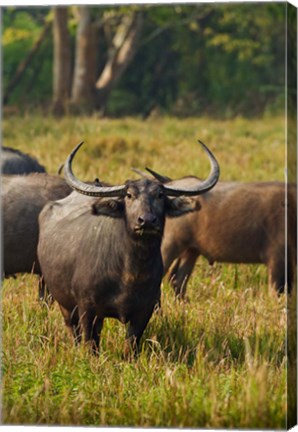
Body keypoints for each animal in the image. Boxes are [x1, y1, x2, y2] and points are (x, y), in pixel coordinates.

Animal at [36, 140, 219, 356]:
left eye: (160, 195)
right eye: (129, 195)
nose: (146, 221)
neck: (130, 272)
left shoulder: (144, 310)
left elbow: (131, 345)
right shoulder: (86, 307)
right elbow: (89, 343)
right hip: (62, 301)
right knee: (74, 330)